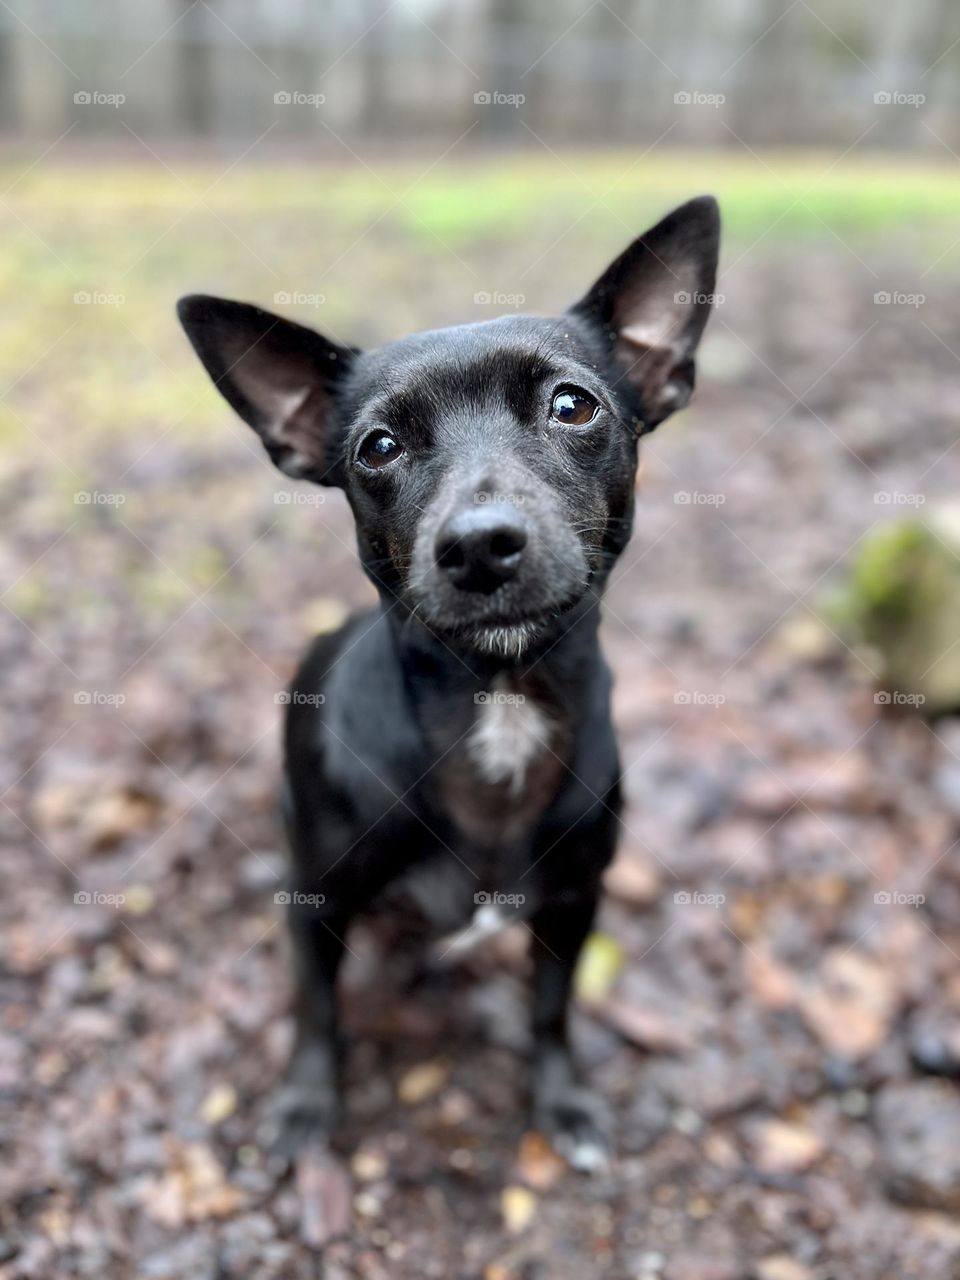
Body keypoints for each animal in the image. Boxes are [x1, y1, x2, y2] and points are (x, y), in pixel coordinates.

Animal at [179, 197, 721, 1172]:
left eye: (573, 405)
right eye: (378, 447)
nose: (478, 544)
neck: (498, 702)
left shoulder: (574, 907)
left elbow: (551, 1010)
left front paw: (562, 1101)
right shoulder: (317, 907)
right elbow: (316, 1010)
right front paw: (306, 1104)